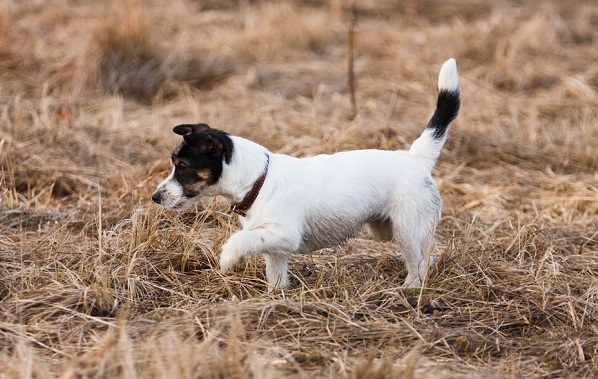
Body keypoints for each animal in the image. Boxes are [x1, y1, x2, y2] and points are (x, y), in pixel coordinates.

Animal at [152, 58, 462, 290]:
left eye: (182, 166)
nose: (155, 197)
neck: (258, 180)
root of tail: (416, 158)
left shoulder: (285, 233)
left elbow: (238, 241)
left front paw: (228, 260)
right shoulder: (275, 247)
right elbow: (274, 273)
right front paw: (274, 297)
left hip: (408, 228)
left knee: (418, 263)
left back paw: (409, 288)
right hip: (385, 229)